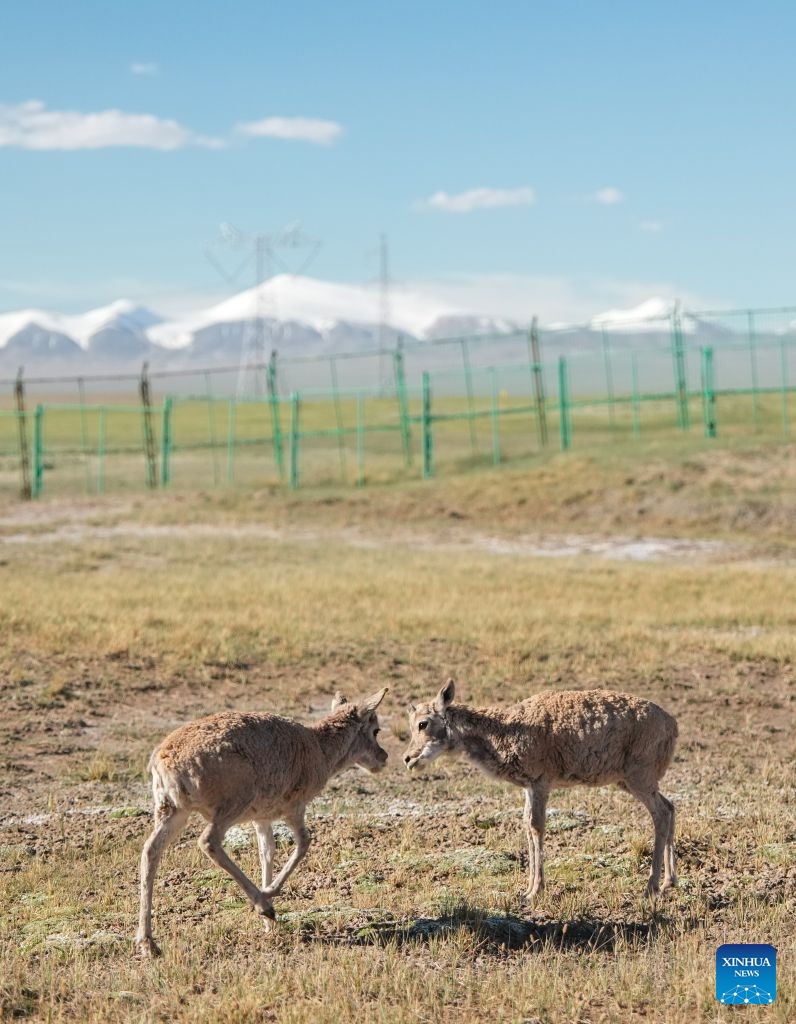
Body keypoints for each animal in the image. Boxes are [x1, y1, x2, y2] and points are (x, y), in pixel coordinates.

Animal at [135, 688, 388, 955]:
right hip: (230, 806)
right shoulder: (294, 809)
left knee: (150, 850)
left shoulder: (261, 818)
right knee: (207, 841)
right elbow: (303, 843)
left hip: (172, 811)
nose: (384, 757)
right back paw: (263, 904)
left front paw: (269, 924)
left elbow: (267, 852)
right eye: (375, 729)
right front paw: (268, 897)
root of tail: (164, 760)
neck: (318, 748)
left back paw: (148, 943)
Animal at [404, 680, 677, 899]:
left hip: (639, 779)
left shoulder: (541, 783)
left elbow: (536, 826)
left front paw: (536, 890)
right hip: (629, 782)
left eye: (423, 724)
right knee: (670, 806)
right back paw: (669, 882)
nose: (407, 758)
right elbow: (526, 824)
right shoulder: (528, 787)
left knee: (661, 814)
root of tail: (672, 724)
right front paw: (526, 889)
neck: (503, 729)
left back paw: (651, 887)